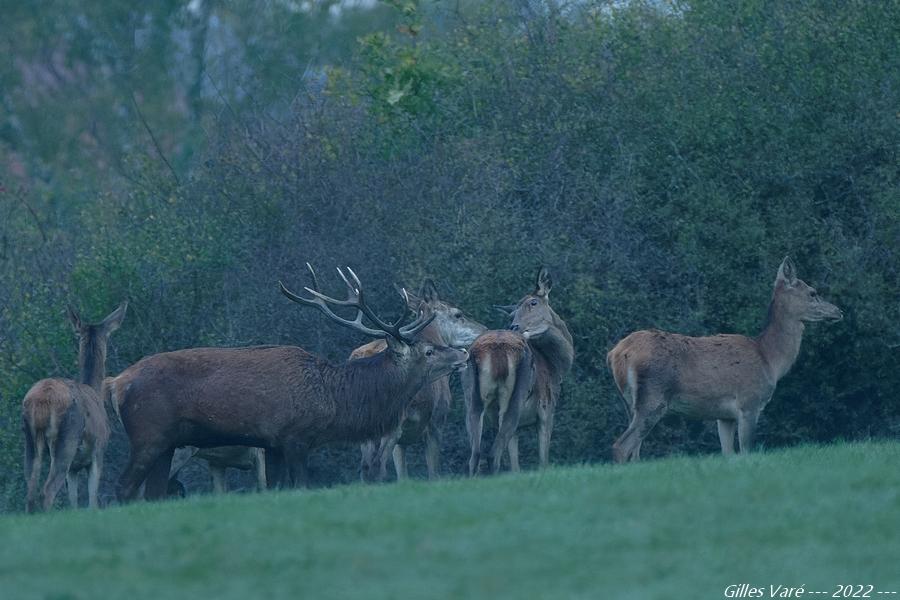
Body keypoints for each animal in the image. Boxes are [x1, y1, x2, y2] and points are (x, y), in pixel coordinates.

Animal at [21, 302, 127, 512]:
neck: (94, 390)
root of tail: (42, 400)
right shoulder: (98, 450)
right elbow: (92, 501)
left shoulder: (74, 468)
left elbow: (73, 502)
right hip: (67, 438)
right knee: (47, 490)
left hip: (30, 438)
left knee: (30, 490)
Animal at [468, 268, 572, 474]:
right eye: (512, 314)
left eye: (533, 302)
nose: (513, 326)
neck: (556, 366)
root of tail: (494, 350)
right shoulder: (547, 410)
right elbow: (543, 460)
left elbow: (515, 464)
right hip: (514, 396)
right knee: (493, 454)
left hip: (474, 398)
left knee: (474, 455)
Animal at [608, 255, 840, 462]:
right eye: (812, 292)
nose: (839, 311)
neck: (769, 359)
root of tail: (617, 353)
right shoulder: (749, 403)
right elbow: (746, 450)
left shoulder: (724, 416)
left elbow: (728, 453)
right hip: (653, 398)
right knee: (621, 446)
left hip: (630, 402)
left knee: (634, 451)